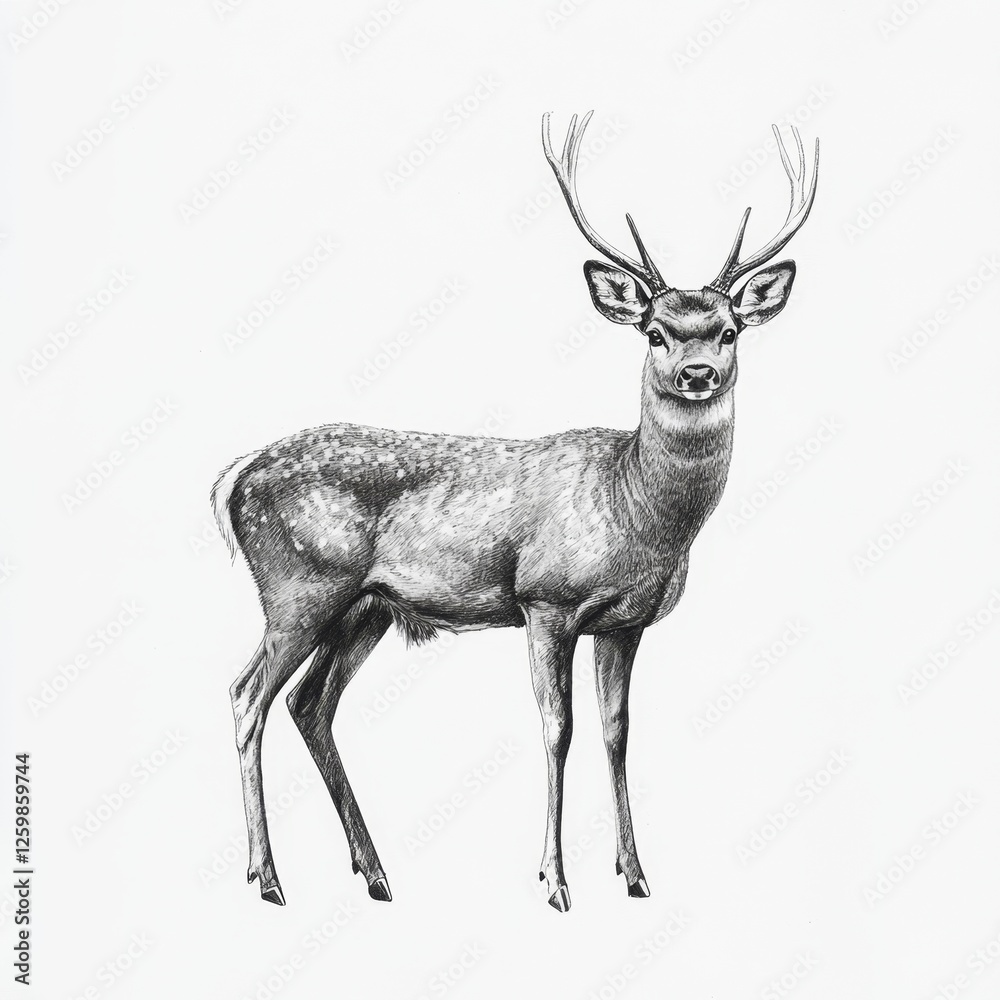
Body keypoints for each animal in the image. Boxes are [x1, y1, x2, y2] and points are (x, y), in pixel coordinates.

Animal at [212, 111, 819, 913]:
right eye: (655, 330)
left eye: (729, 330)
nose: (697, 374)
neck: (637, 514)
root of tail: (235, 478)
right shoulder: (545, 599)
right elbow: (558, 728)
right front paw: (554, 880)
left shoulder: (624, 623)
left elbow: (617, 732)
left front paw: (635, 874)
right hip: (299, 589)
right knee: (247, 696)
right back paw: (270, 878)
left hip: (363, 609)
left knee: (310, 705)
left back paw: (374, 874)